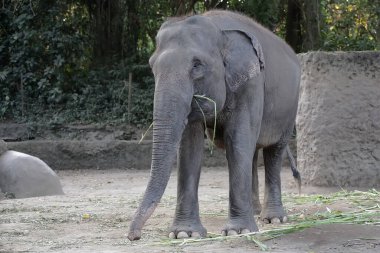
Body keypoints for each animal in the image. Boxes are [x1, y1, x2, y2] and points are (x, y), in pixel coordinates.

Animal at [127, 10, 300, 240]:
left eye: (197, 65)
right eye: (152, 67)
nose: (134, 236)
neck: (218, 28)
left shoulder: (251, 83)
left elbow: (237, 140)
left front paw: (239, 231)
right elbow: (190, 146)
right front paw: (185, 234)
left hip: (289, 109)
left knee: (274, 151)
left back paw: (274, 219)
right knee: (253, 151)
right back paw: (255, 211)